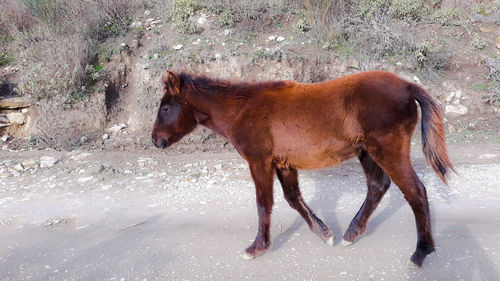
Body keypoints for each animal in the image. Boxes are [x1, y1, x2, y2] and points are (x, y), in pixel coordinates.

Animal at [151, 70, 454, 266]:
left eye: (166, 108)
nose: (155, 140)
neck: (242, 109)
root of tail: (407, 86)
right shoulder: (284, 164)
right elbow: (293, 199)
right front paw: (325, 233)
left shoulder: (259, 161)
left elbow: (264, 204)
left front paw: (257, 247)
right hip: (368, 153)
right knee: (378, 187)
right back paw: (351, 233)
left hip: (388, 152)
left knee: (416, 192)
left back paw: (421, 252)